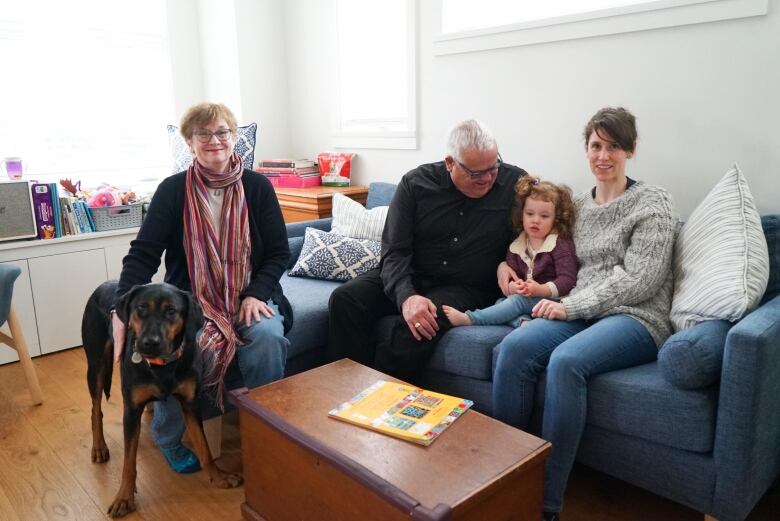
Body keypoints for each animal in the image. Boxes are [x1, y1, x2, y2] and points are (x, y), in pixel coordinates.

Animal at [82, 282, 241, 516]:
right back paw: (99, 447)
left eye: (171, 311)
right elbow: (129, 461)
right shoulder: (131, 411)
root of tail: (102, 285)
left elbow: (204, 446)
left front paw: (219, 477)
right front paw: (124, 497)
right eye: (141, 308)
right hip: (96, 365)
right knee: (95, 409)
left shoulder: (191, 404)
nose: (149, 343)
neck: (162, 364)